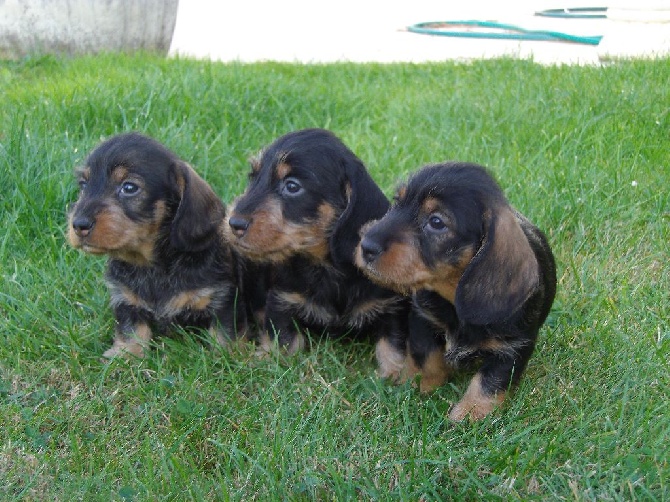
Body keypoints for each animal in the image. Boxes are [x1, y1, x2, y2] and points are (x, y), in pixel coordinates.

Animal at [68, 133, 262, 358]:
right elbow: (131, 330)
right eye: (83, 184)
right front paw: (127, 354)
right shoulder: (126, 300)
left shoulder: (222, 298)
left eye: (129, 187)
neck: (154, 266)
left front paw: (227, 356)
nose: (79, 224)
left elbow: (225, 332)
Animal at [227, 127, 410, 378]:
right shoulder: (281, 299)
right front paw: (270, 359)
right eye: (253, 176)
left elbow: (392, 344)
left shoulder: (392, 307)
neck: (327, 268)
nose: (233, 223)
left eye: (292, 186)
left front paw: (395, 375)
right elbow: (285, 338)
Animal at [356, 164, 556, 420]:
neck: (453, 299)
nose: (365, 246)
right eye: (396, 202)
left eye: (436, 222)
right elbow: (426, 358)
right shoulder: (423, 321)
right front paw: (421, 387)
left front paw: (471, 413)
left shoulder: (513, 348)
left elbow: (489, 382)